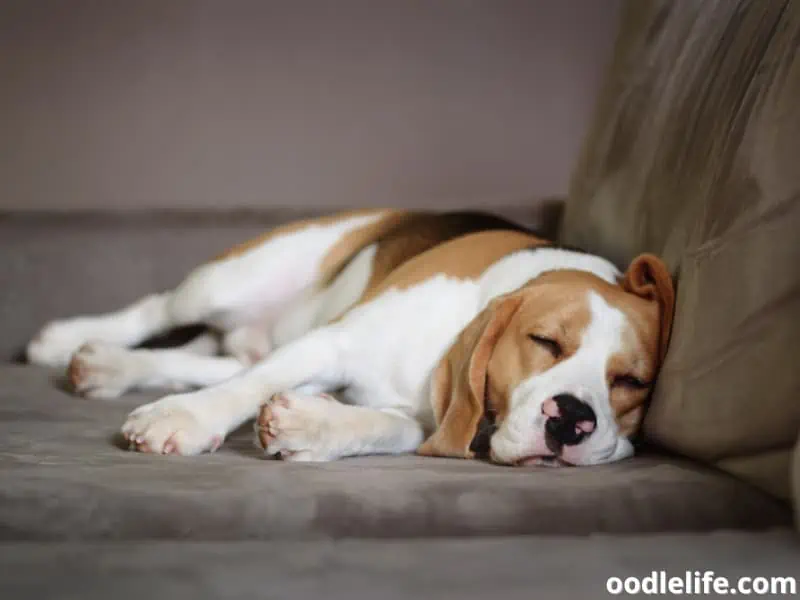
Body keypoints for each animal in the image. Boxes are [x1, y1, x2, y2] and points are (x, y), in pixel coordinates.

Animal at [26, 209, 676, 466]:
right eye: (544, 342)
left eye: (632, 382)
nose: (573, 420)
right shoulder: (333, 343)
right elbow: (250, 387)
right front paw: (181, 420)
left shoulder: (420, 416)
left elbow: (389, 427)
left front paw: (314, 427)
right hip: (230, 280)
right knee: (160, 313)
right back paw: (63, 340)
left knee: (214, 362)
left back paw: (107, 366)